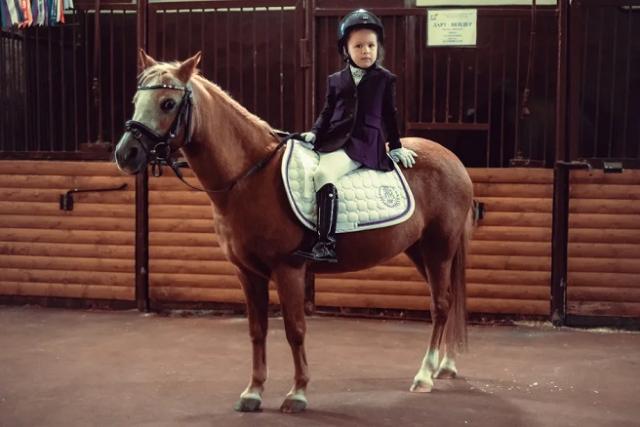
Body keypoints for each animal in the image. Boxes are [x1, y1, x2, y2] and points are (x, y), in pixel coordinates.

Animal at [115, 50, 475, 414]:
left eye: (168, 103)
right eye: (135, 100)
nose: (125, 154)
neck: (250, 176)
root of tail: (453, 159)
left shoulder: (288, 269)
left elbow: (295, 329)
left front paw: (297, 393)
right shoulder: (247, 272)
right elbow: (257, 330)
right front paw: (253, 392)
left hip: (439, 248)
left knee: (440, 304)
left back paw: (425, 375)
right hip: (419, 250)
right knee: (447, 300)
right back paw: (444, 366)